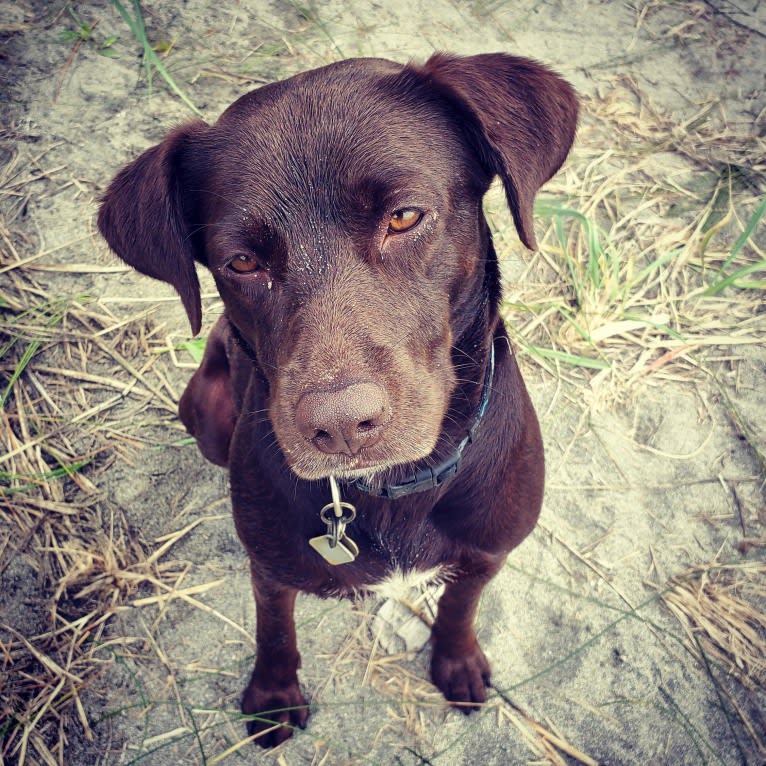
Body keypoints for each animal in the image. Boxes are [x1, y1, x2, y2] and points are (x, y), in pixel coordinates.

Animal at [97, 51, 576, 748]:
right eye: (241, 261)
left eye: (404, 217)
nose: (343, 426)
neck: (392, 488)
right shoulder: (270, 569)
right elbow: (275, 631)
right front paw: (272, 697)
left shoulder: (488, 552)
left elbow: (460, 607)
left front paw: (457, 662)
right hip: (207, 414)